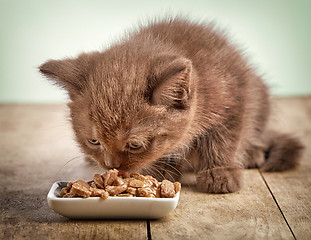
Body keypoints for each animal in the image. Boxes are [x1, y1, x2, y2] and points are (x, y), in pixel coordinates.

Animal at [39, 17, 304, 193]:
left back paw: (253, 152)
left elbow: (224, 139)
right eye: (94, 141)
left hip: (260, 93)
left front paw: (220, 173)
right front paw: (158, 171)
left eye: (135, 144)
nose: (112, 166)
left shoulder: (235, 97)